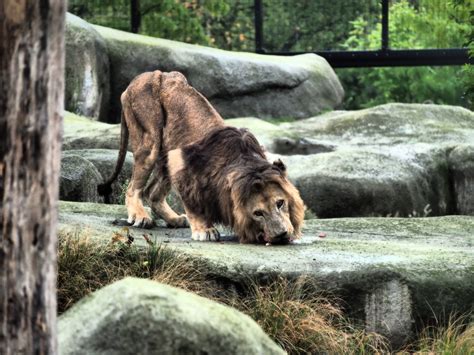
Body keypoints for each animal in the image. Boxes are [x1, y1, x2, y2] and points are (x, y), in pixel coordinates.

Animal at [99, 71, 306, 245]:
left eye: (280, 203)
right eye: (258, 213)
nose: (281, 235)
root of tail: (140, 78)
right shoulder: (180, 163)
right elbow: (193, 205)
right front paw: (204, 230)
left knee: (151, 192)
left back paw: (175, 219)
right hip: (149, 141)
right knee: (133, 188)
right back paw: (141, 217)